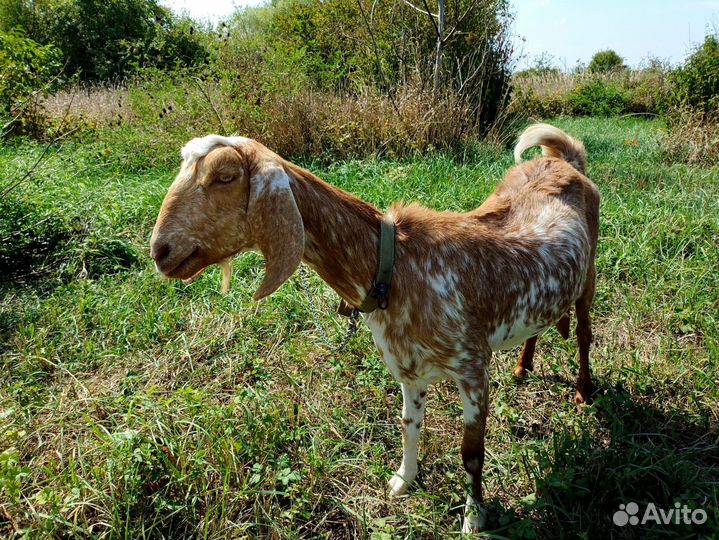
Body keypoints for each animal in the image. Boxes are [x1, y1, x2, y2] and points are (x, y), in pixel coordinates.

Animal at [150, 124, 600, 532]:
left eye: (225, 177)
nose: (160, 251)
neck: (394, 265)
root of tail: (566, 158)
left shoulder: (473, 368)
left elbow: (471, 453)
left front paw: (474, 518)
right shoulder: (409, 369)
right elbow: (409, 428)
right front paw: (403, 482)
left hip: (589, 275)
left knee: (583, 334)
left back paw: (582, 391)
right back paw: (523, 366)